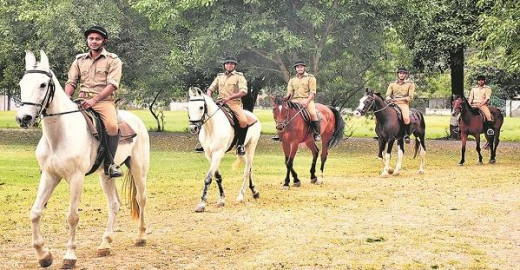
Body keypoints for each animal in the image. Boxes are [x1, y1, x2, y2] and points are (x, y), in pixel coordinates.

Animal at [15, 50, 149, 268]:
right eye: (21, 84)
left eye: (43, 84)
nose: (23, 118)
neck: (59, 135)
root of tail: (136, 120)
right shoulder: (49, 176)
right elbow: (35, 212)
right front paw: (44, 255)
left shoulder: (76, 178)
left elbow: (72, 216)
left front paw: (69, 256)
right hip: (106, 175)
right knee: (114, 204)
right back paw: (105, 244)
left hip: (139, 169)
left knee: (141, 199)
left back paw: (141, 237)